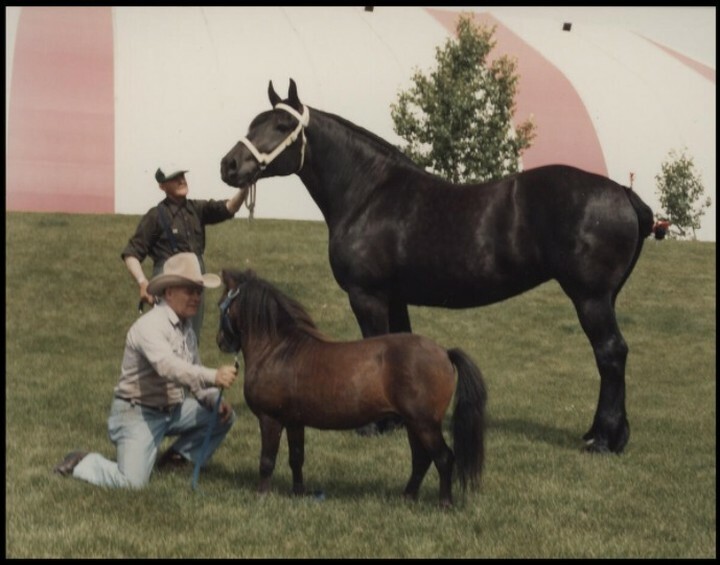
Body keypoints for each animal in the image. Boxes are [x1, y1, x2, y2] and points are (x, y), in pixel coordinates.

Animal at [216, 268, 488, 507]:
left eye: (222, 303)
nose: (220, 341)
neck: (278, 350)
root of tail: (444, 352)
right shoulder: (294, 421)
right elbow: (296, 458)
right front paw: (299, 493)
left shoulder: (270, 418)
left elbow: (267, 460)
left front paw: (261, 496)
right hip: (414, 424)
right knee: (421, 460)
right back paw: (407, 497)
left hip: (425, 424)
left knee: (443, 458)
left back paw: (445, 503)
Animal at [220, 78, 656, 454]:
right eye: (253, 123)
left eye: (281, 125)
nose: (230, 165)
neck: (369, 194)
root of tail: (623, 192)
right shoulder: (394, 296)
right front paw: (395, 420)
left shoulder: (368, 295)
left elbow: (374, 342)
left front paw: (374, 426)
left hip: (591, 298)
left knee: (610, 353)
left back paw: (602, 438)